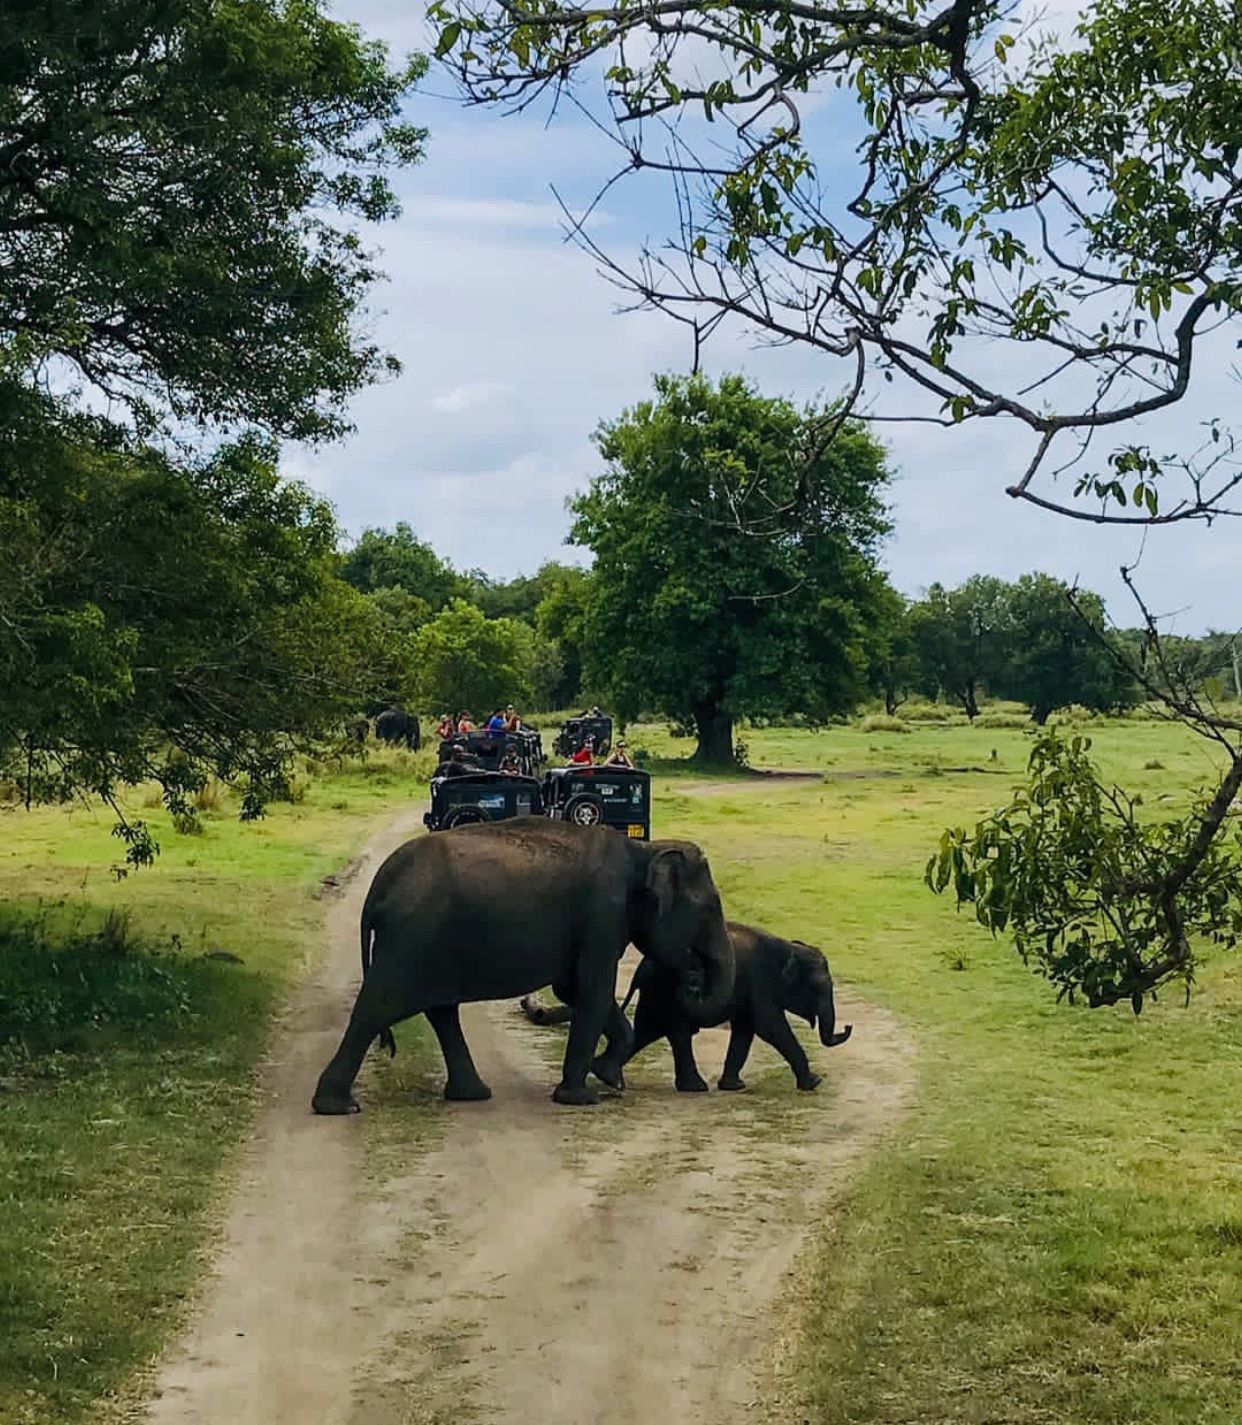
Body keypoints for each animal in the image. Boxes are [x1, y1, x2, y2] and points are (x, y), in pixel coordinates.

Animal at [313, 826, 734, 1111]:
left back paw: (472, 1095)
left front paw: (609, 1077)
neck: (644, 850)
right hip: (411, 938)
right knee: (376, 1008)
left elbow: (573, 989)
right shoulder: (601, 913)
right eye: (710, 909)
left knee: (441, 1012)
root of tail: (379, 885)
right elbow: (593, 992)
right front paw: (582, 1097)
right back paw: (338, 1107)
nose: (692, 980)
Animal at [518, 923, 848, 1088]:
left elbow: (746, 1030)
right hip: (666, 993)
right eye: (819, 989)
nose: (846, 1027)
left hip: (657, 995)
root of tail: (643, 968)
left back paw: (606, 1075)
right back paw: (692, 1086)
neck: (789, 948)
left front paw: (733, 1087)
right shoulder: (760, 983)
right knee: (672, 1033)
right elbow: (770, 1027)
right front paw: (814, 1083)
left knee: (646, 1031)